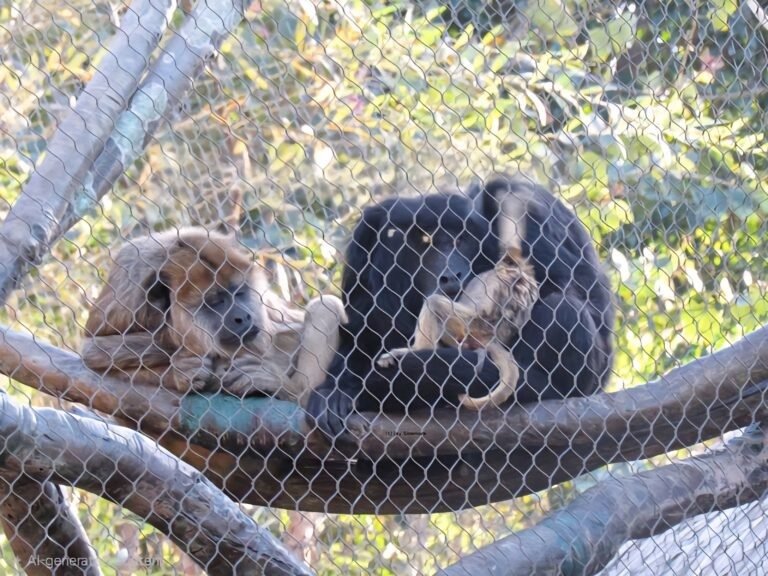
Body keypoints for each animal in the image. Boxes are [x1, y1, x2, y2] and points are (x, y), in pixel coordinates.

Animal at [81, 227, 345, 404]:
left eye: (239, 293)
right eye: (216, 302)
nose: (242, 317)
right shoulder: (129, 281)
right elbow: (94, 352)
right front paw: (182, 370)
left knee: (325, 306)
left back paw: (295, 391)